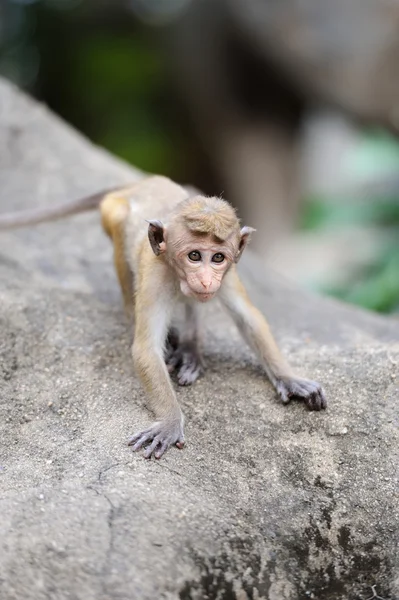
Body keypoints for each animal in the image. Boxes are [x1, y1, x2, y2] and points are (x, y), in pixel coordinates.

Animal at [0, 176, 326, 458]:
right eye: (194, 256)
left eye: (217, 257)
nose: (206, 280)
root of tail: (140, 181)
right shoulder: (156, 274)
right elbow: (145, 349)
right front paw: (170, 421)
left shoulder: (230, 273)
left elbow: (250, 319)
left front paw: (290, 379)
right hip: (113, 214)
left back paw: (191, 349)